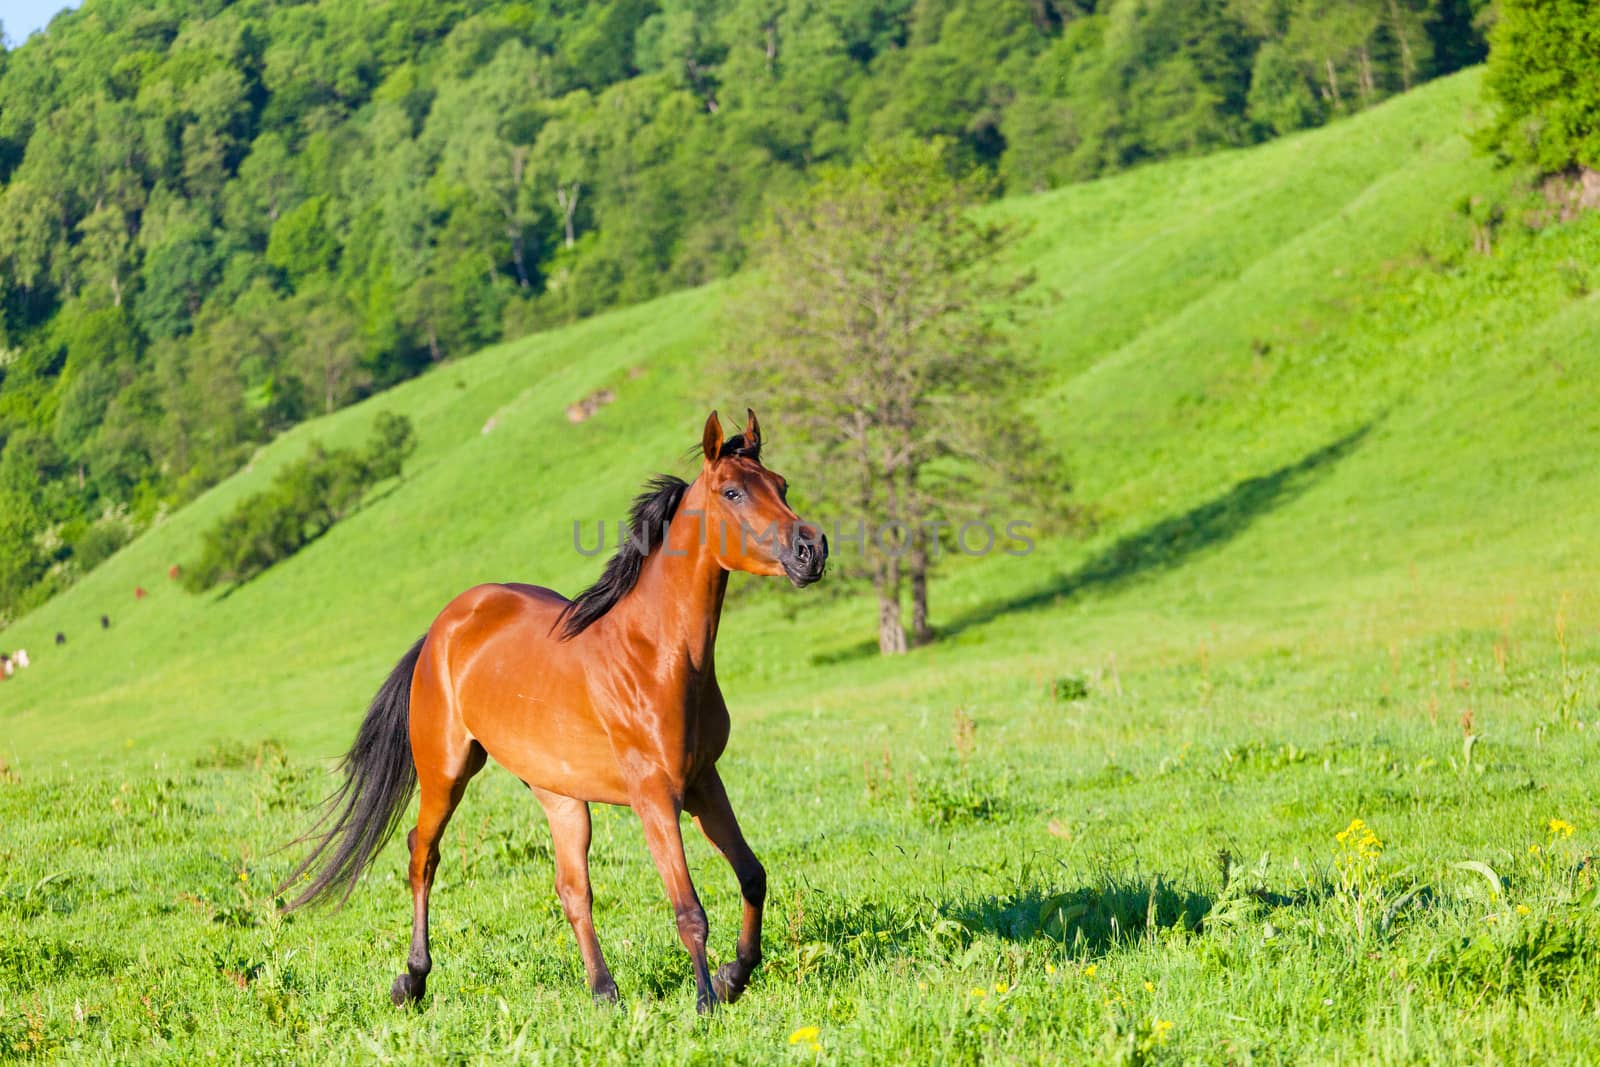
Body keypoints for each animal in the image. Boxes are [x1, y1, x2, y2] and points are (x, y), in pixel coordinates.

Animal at [281, 406, 825, 1011]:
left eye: (781, 485)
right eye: (732, 492)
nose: (812, 550)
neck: (658, 657)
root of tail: (444, 627)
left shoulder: (705, 780)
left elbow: (752, 875)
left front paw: (735, 975)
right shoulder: (655, 796)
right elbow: (689, 911)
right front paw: (707, 1001)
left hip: (559, 795)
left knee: (572, 890)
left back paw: (604, 992)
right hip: (446, 771)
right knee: (423, 854)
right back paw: (413, 980)